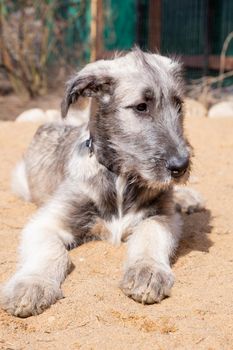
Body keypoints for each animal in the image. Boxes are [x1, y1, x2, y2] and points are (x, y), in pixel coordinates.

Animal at [0, 47, 204, 318]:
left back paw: (189, 198)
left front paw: (147, 270)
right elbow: (52, 251)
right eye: (141, 107)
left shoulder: (165, 215)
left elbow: (151, 232)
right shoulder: (45, 222)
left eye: (179, 105)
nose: (180, 166)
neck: (120, 179)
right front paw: (32, 283)